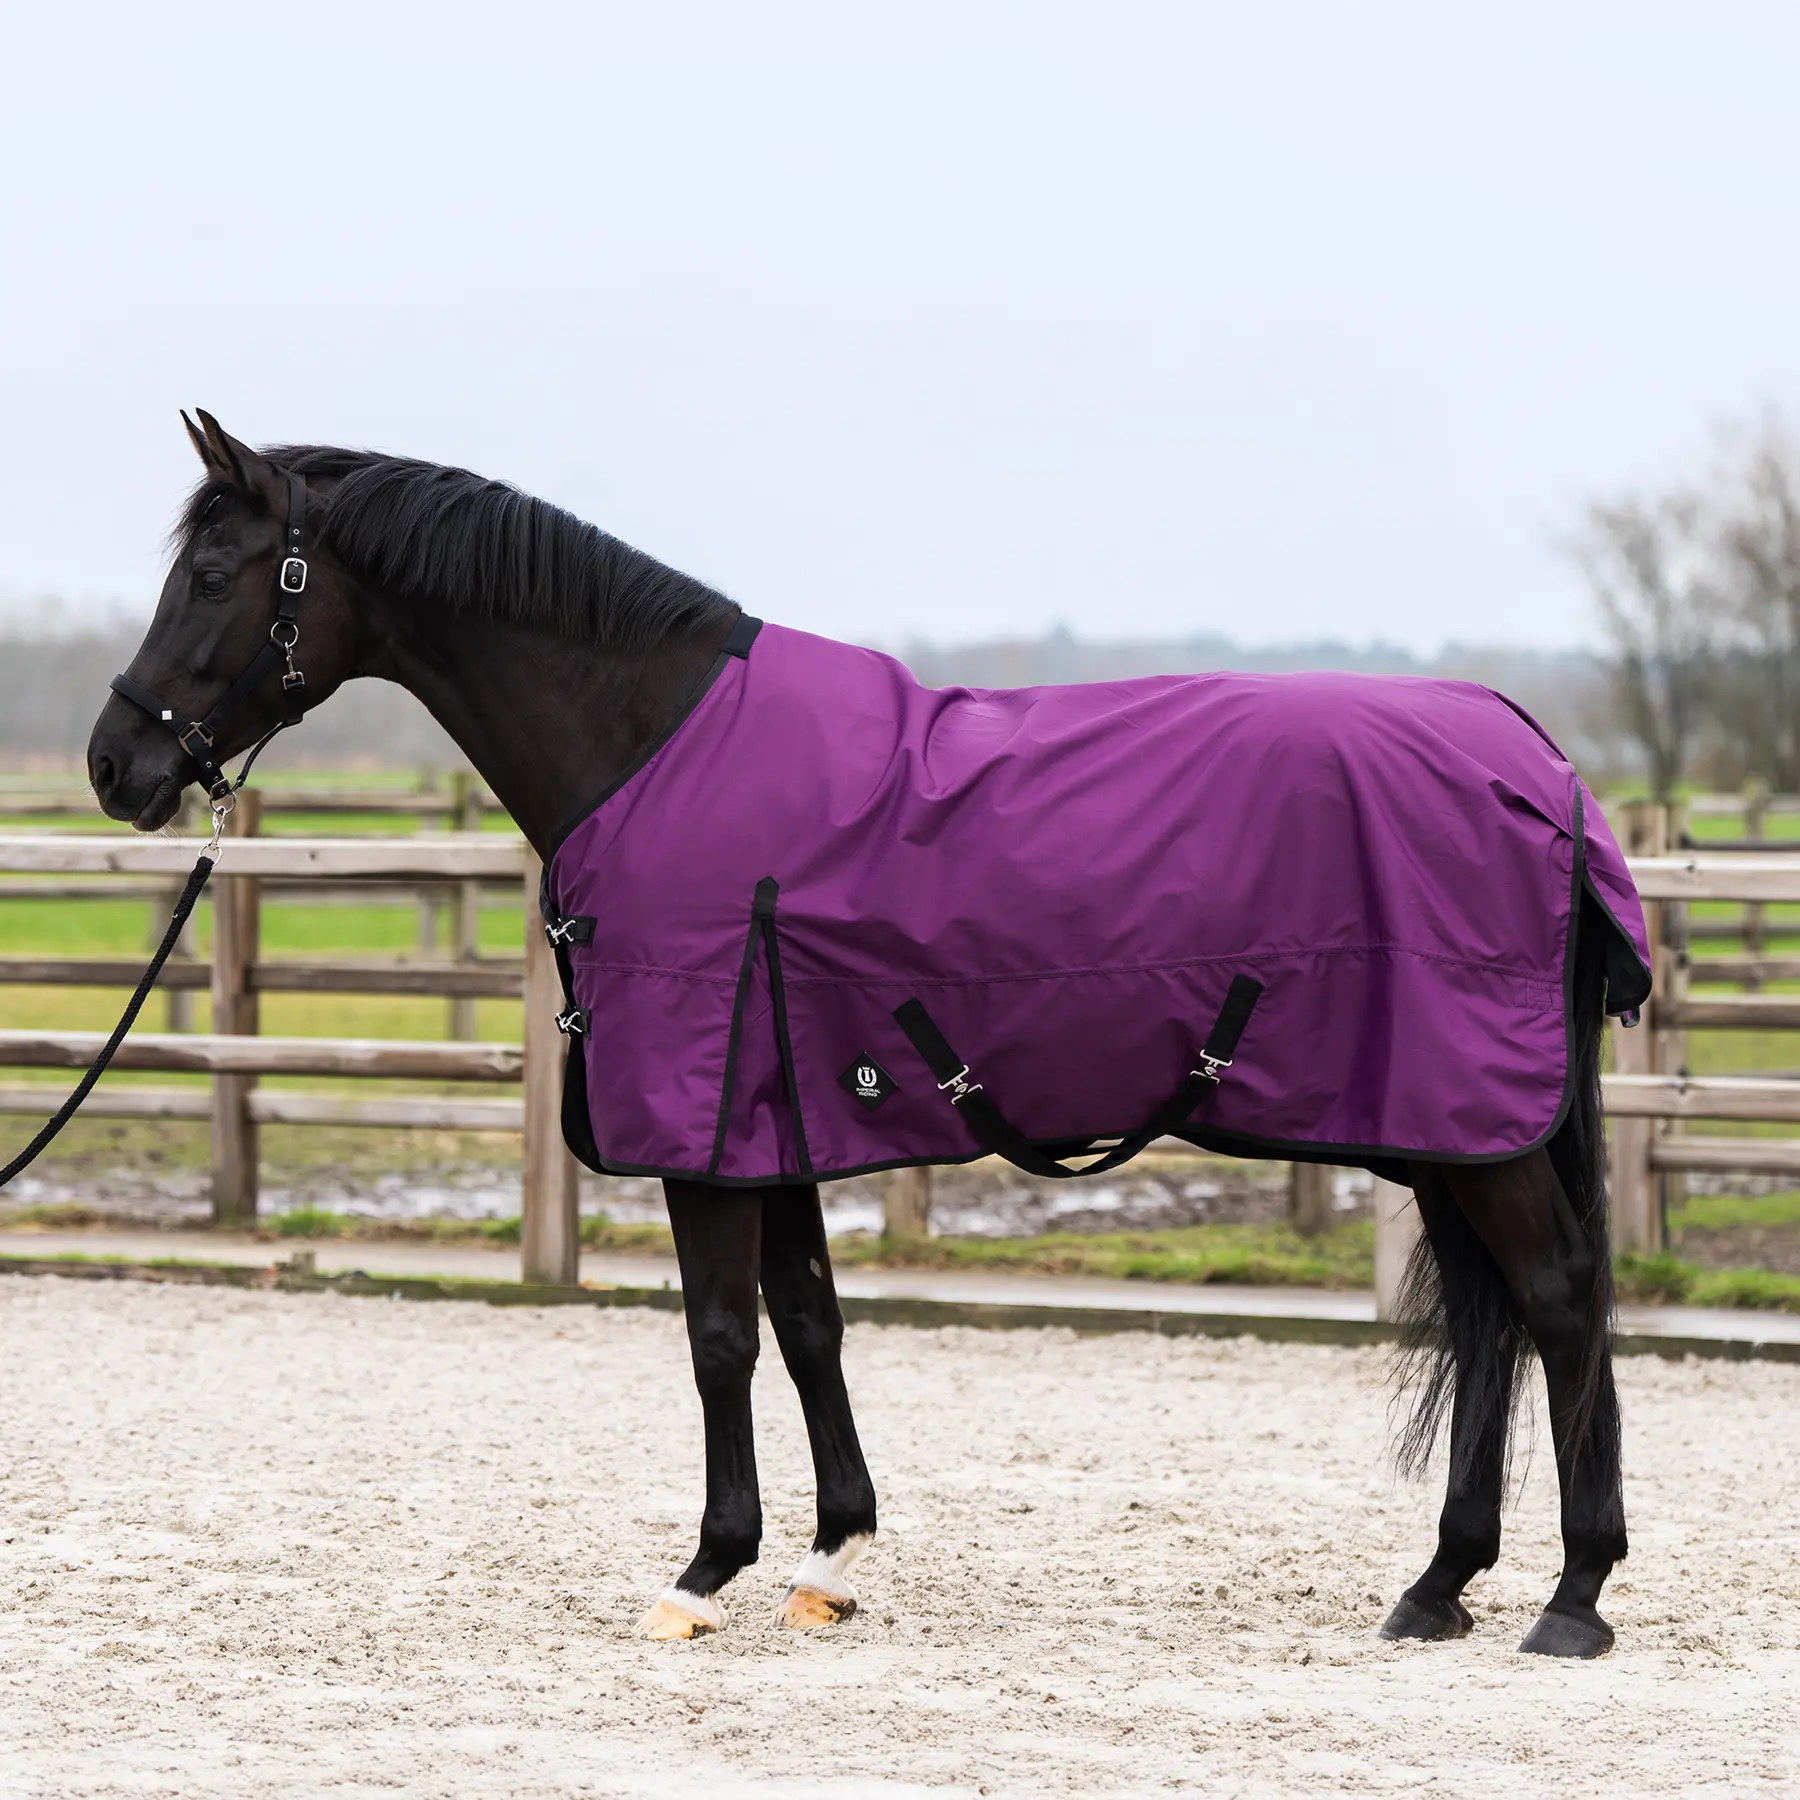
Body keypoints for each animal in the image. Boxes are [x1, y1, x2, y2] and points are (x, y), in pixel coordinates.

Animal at [85, 411, 1641, 1656]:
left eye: (214, 575)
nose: (117, 764)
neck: (655, 743)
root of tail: (1539, 763)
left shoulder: (708, 1129)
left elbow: (719, 1336)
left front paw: (705, 1573)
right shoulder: (776, 1114)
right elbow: (811, 1324)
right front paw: (834, 1560)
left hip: (1472, 1127)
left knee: (1559, 1298)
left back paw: (1574, 1600)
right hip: (1442, 1131)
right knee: (1496, 1322)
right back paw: (1439, 1587)